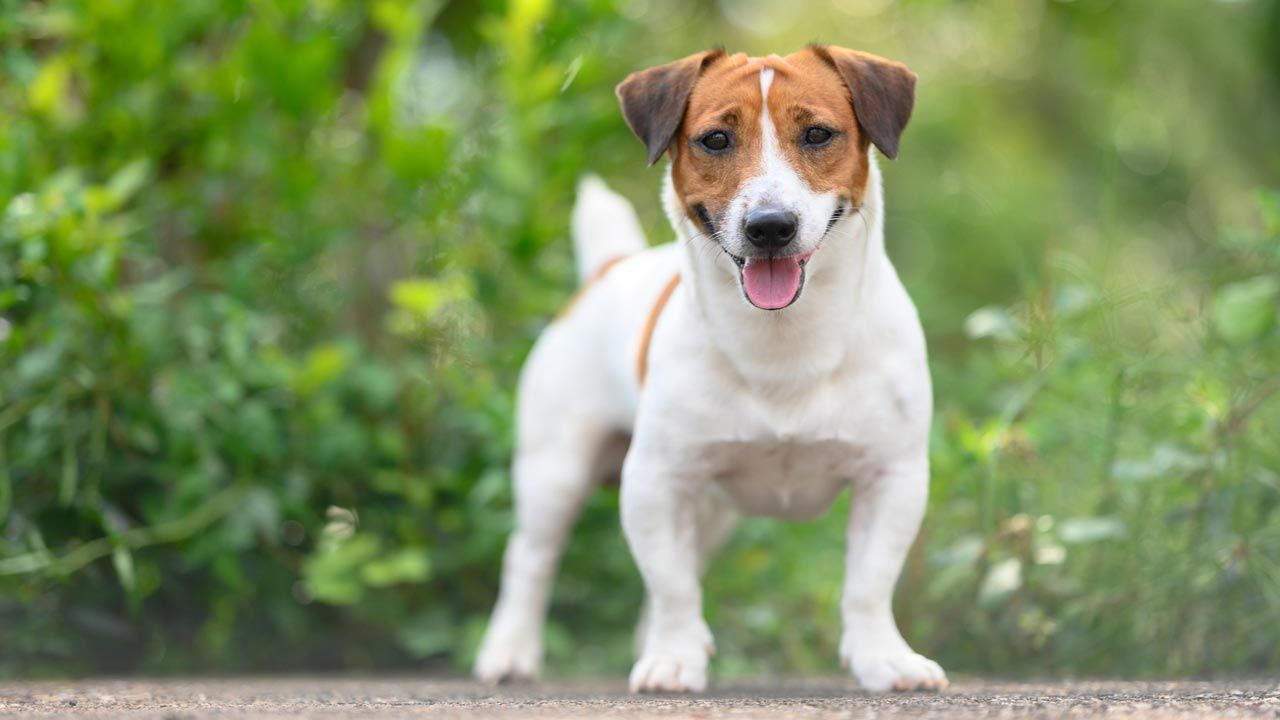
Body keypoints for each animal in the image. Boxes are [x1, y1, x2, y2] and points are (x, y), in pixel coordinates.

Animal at [476, 43, 947, 691]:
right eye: (716, 139)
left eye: (818, 134)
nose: (770, 226)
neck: (784, 343)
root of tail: (608, 267)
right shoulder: (656, 480)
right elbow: (673, 586)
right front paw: (675, 657)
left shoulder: (892, 476)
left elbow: (870, 584)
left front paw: (885, 658)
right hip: (556, 471)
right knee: (531, 558)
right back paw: (510, 650)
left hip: (712, 510)